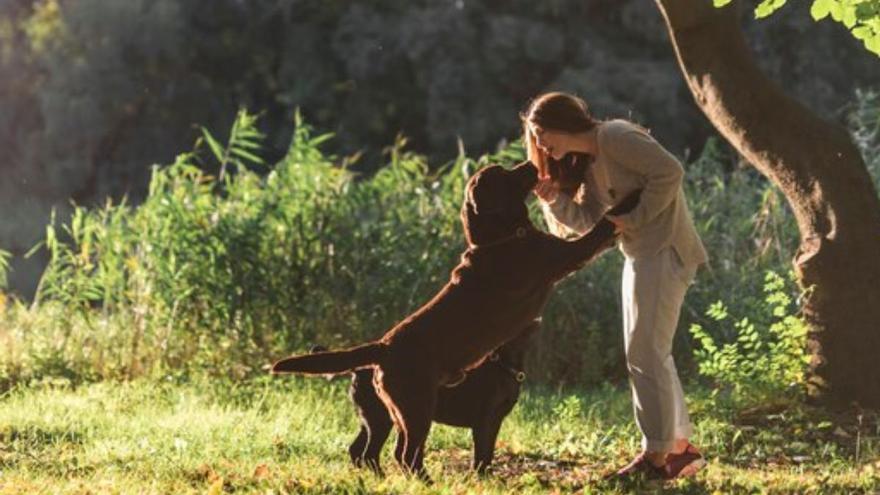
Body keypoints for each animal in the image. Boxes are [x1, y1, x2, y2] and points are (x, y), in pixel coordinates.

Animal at [272, 161, 636, 478]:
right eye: (503, 173)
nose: (532, 165)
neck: (502, 237)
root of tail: (382, 346)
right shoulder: (564, 255)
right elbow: (600, 227)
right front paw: (630, 198)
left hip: (396, 413)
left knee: (381, 452)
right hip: (416, 407)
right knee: (403, 454)